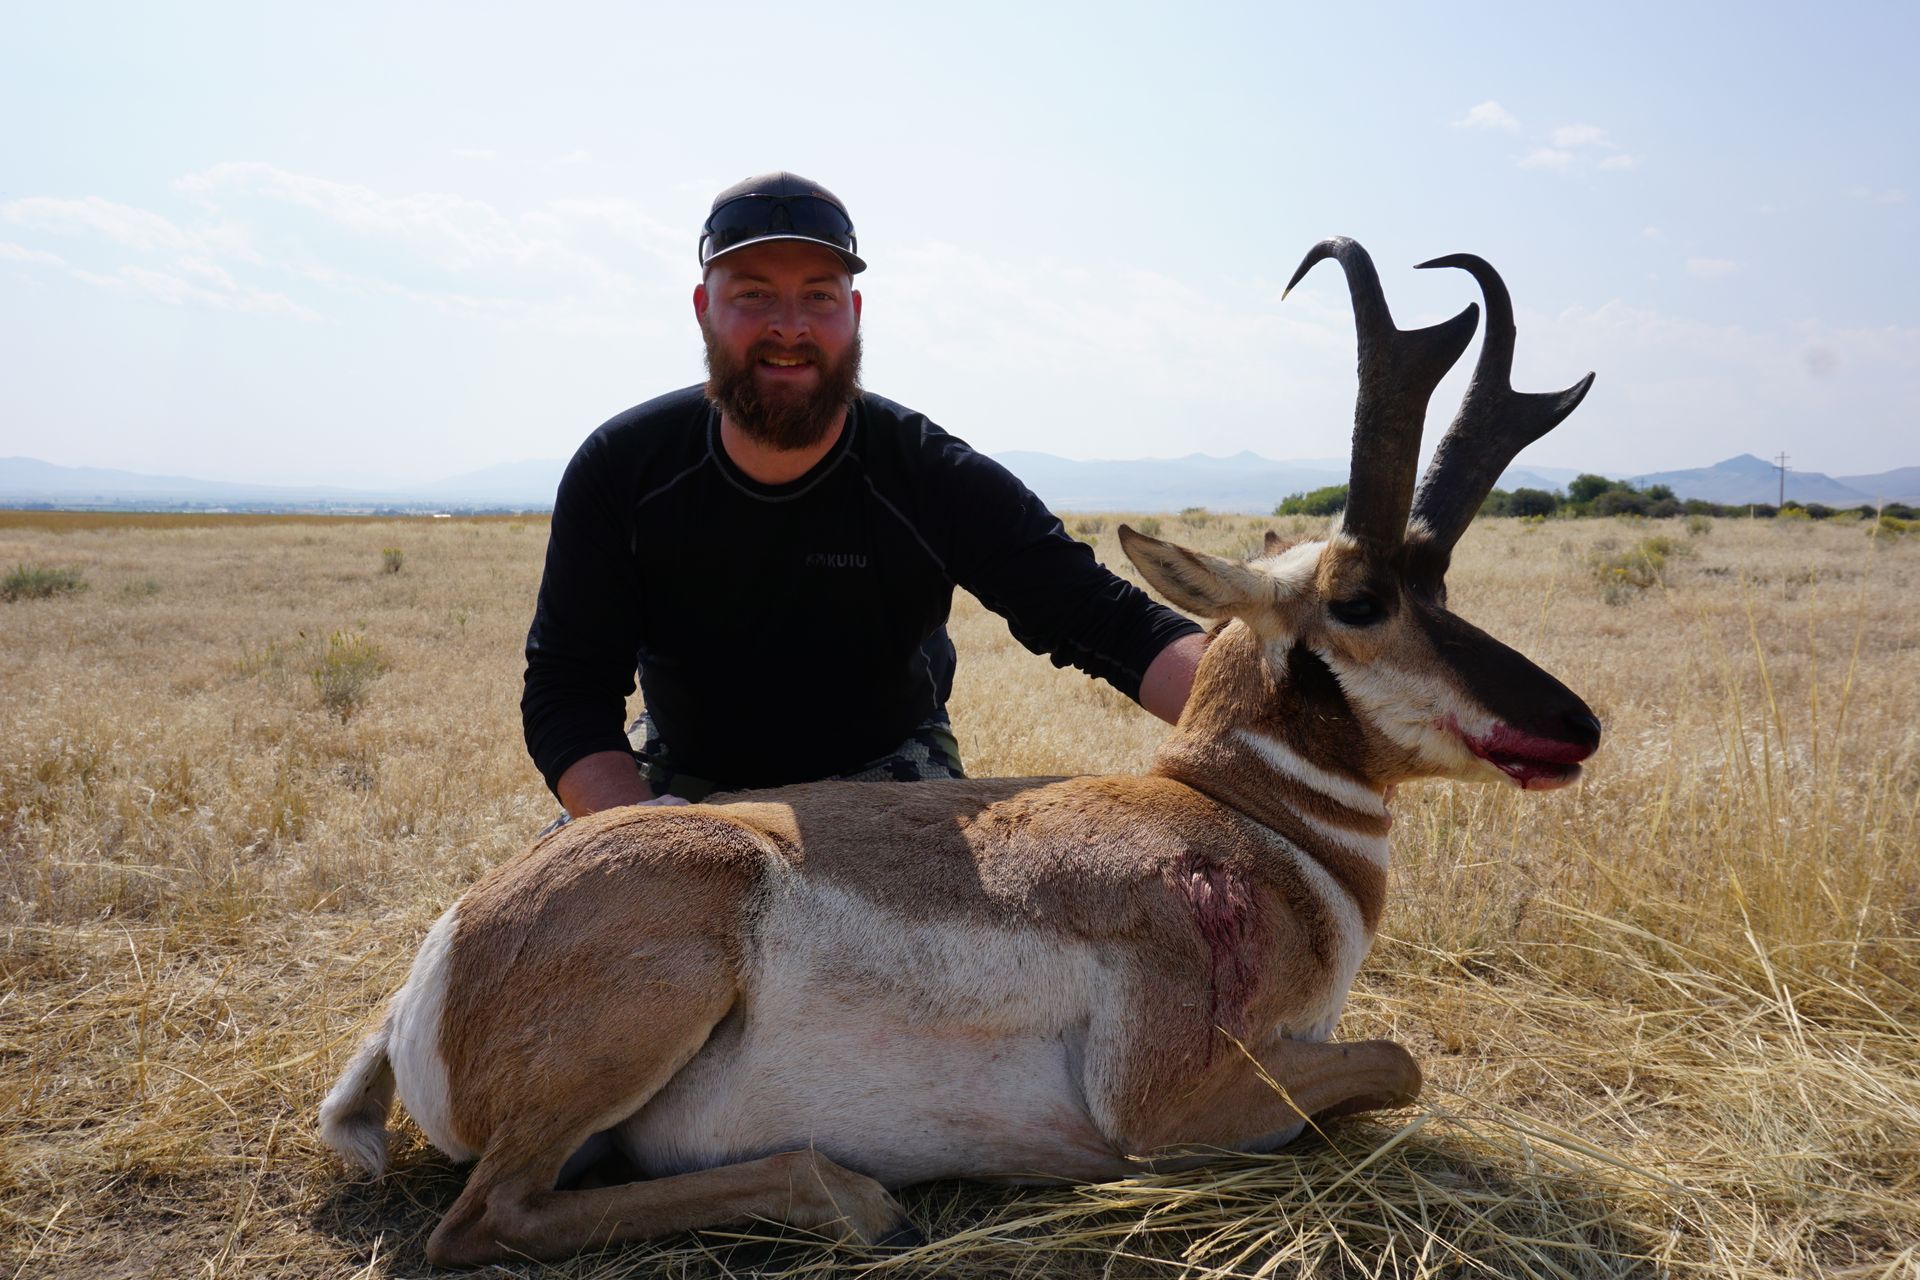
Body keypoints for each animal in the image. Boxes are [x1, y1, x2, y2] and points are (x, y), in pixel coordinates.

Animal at [320, 238, 1601, 1268]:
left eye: (1446, 585)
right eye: (1363, 598)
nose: (1576, 724)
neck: (1241, 815)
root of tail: (433, 966)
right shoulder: (1172, 1100)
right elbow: (1400, 1062)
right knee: (485, 1219)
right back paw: (850, 1196)